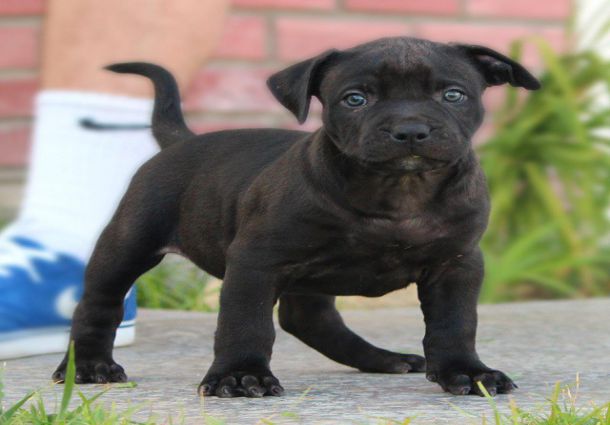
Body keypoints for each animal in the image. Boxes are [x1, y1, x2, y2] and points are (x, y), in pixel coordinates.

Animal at [52, 37, 536, 398]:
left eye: (453, 95)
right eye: (355, 99)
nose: (411, 130)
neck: (399, 191)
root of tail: (181, 141)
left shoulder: (456, 264)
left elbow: (456, 322)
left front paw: (467, 371)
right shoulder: (256, 261)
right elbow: (245, 322)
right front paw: (239, 375)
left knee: (309, 320)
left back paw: (382, 359)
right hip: (127, 243)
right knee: (99, 303)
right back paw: (90, 366)